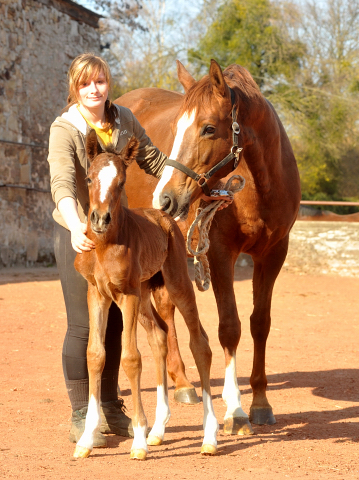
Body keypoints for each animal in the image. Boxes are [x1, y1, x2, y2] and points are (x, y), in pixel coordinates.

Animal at [73, 129, 218, 460]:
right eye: (89, 177)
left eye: (121, 181)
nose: (99, 219)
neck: (104, 247)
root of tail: (163, 217)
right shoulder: (97, 294)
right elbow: (95, 355)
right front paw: (87, 439)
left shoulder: (126, 295)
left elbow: (130, 358)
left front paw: (137, 439)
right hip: (143, 294)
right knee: (160, 336)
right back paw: (159, 429)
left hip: (175, 285)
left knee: (200, 344)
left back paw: (209, 436)